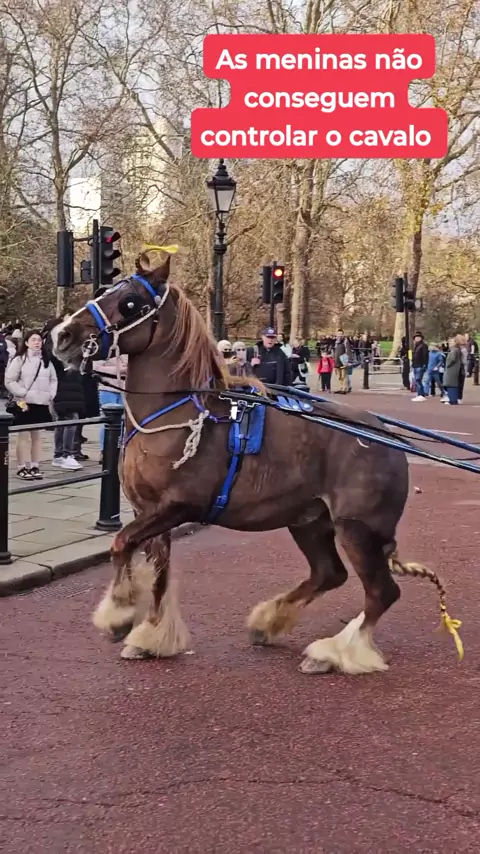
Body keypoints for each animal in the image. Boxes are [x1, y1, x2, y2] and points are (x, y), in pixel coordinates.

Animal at [52, 253, 437, 676]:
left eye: (131, 302)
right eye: (106, 289)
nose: (62, 336)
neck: (177, 411)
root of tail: (388, 438)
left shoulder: (176, 506)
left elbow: (120, 544)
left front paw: (120, 615)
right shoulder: (149, 512)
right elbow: (158, 573)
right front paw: (152, 635)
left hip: (357, 529)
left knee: (381, 591)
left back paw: (333, 652)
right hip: (309, 520)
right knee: (329, 573)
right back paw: (270, 622)